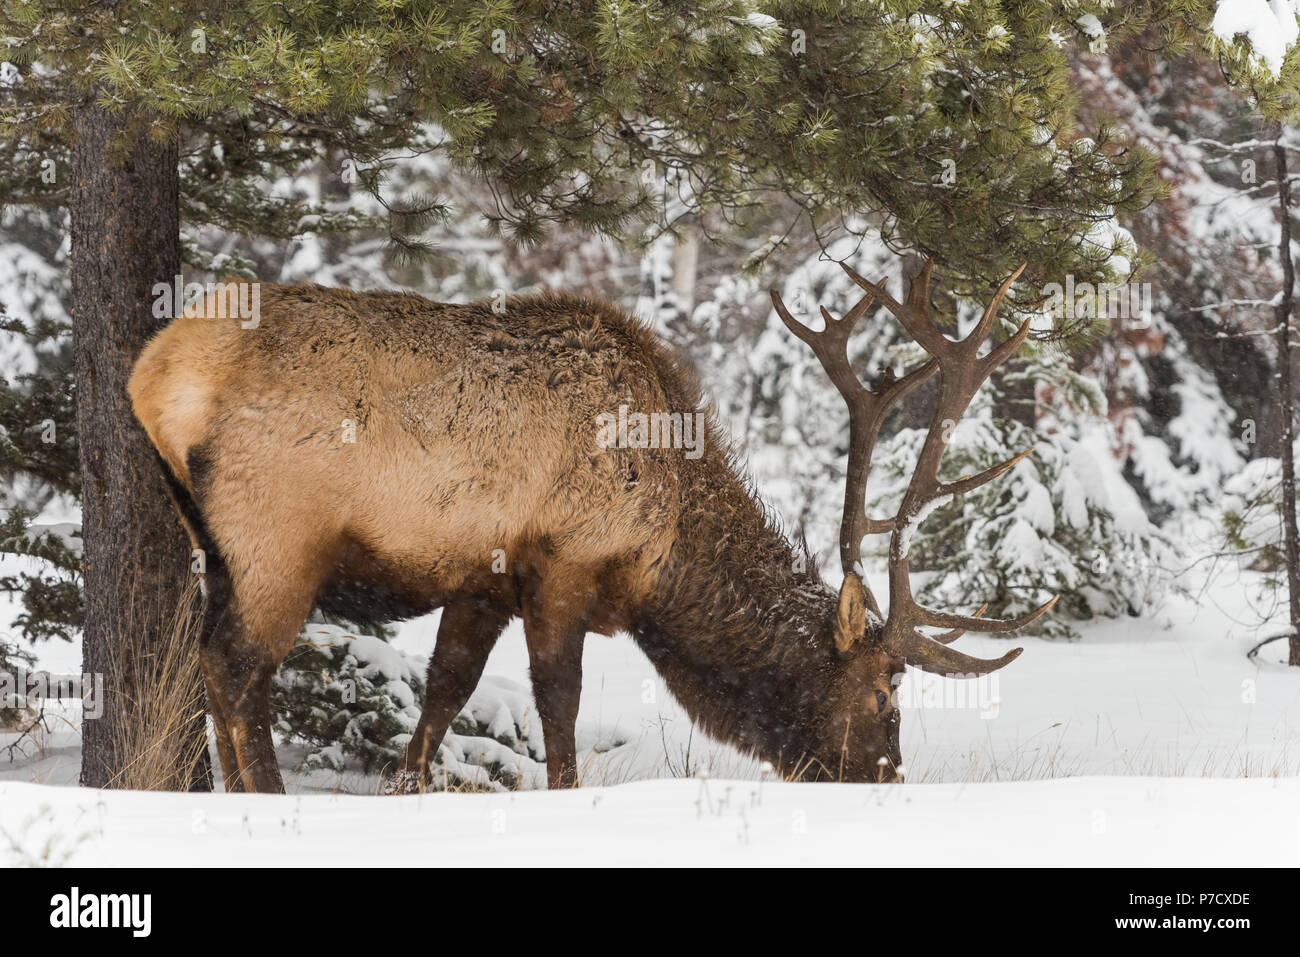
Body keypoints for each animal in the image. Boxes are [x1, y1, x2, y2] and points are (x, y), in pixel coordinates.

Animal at [126, 257, 1050, 795]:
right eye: (885, 691)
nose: (889, 777)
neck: (663, 550)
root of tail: (154, 374)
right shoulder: (564, 560)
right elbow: (558, 701)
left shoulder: (484, 578)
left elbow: (445, 688)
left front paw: (408, 790)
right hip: (278, 536)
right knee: (238, 667)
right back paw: (267, 800)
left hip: (215, 543)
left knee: (213, 662)